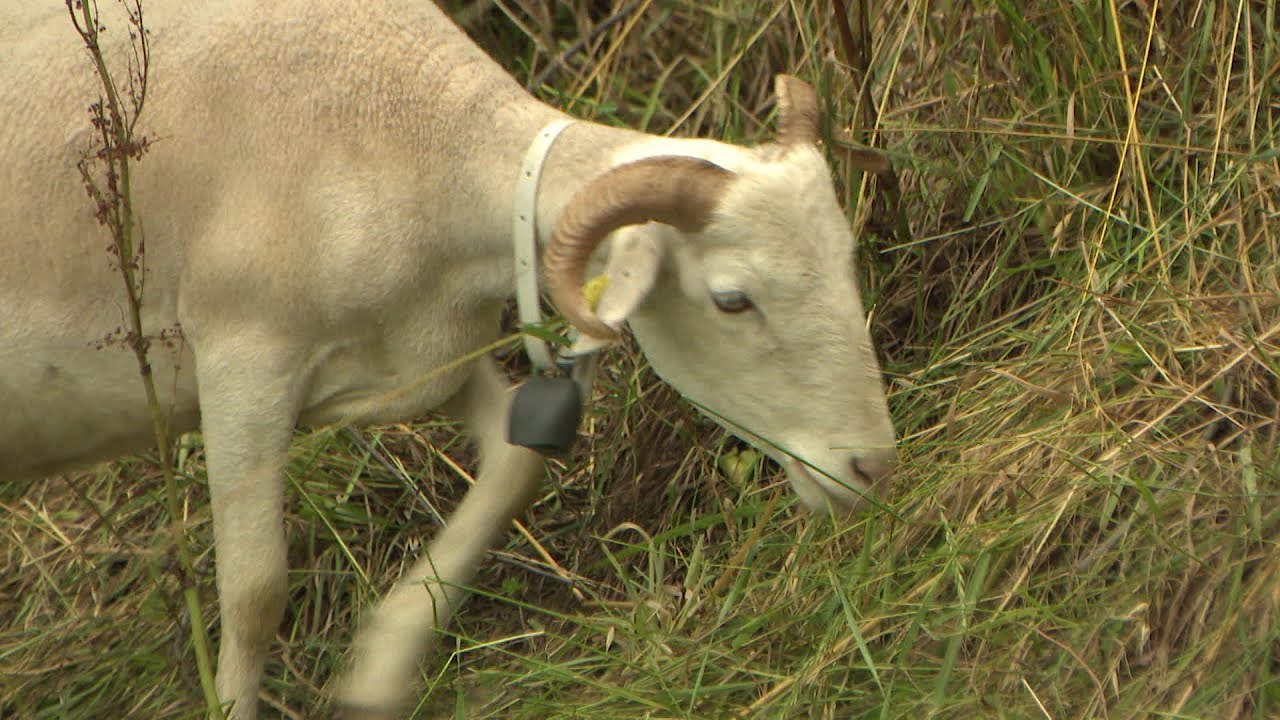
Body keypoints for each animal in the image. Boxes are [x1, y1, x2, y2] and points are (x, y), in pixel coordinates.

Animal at [0, 0, 898, 717]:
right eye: (733, 299)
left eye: (846, 258)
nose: (871, 466)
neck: (409, 133)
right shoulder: (244, 362)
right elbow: (255, 591)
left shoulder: (424, 355)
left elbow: (513, 466)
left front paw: (380, 671)